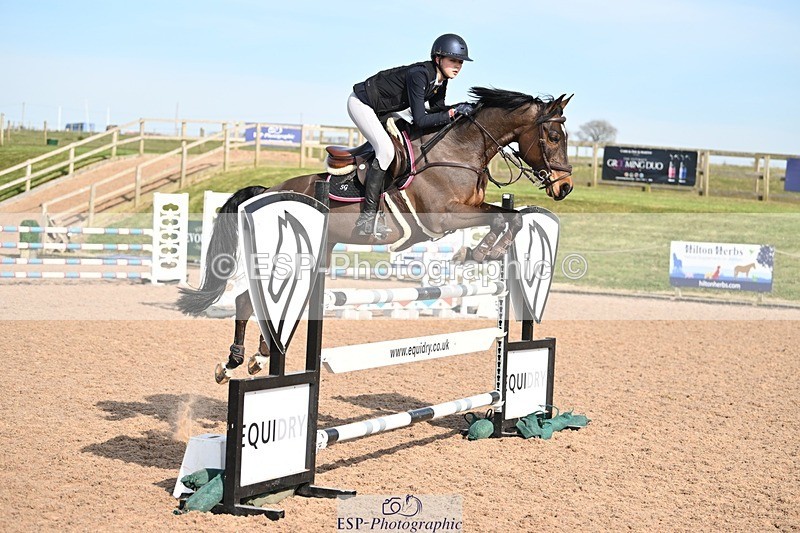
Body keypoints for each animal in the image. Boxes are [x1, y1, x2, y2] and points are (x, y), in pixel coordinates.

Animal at [177, 87, 574, 383]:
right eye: (554, 136)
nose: (565, 187)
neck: (460, 150)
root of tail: (267, 190)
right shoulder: (445, 217)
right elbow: (508, 219)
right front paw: (478, 253)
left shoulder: (471, 209)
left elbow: (512, 218)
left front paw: (481, 253)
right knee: (247, 300)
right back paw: (234, 363)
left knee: (260, 302)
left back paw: (257, 357)